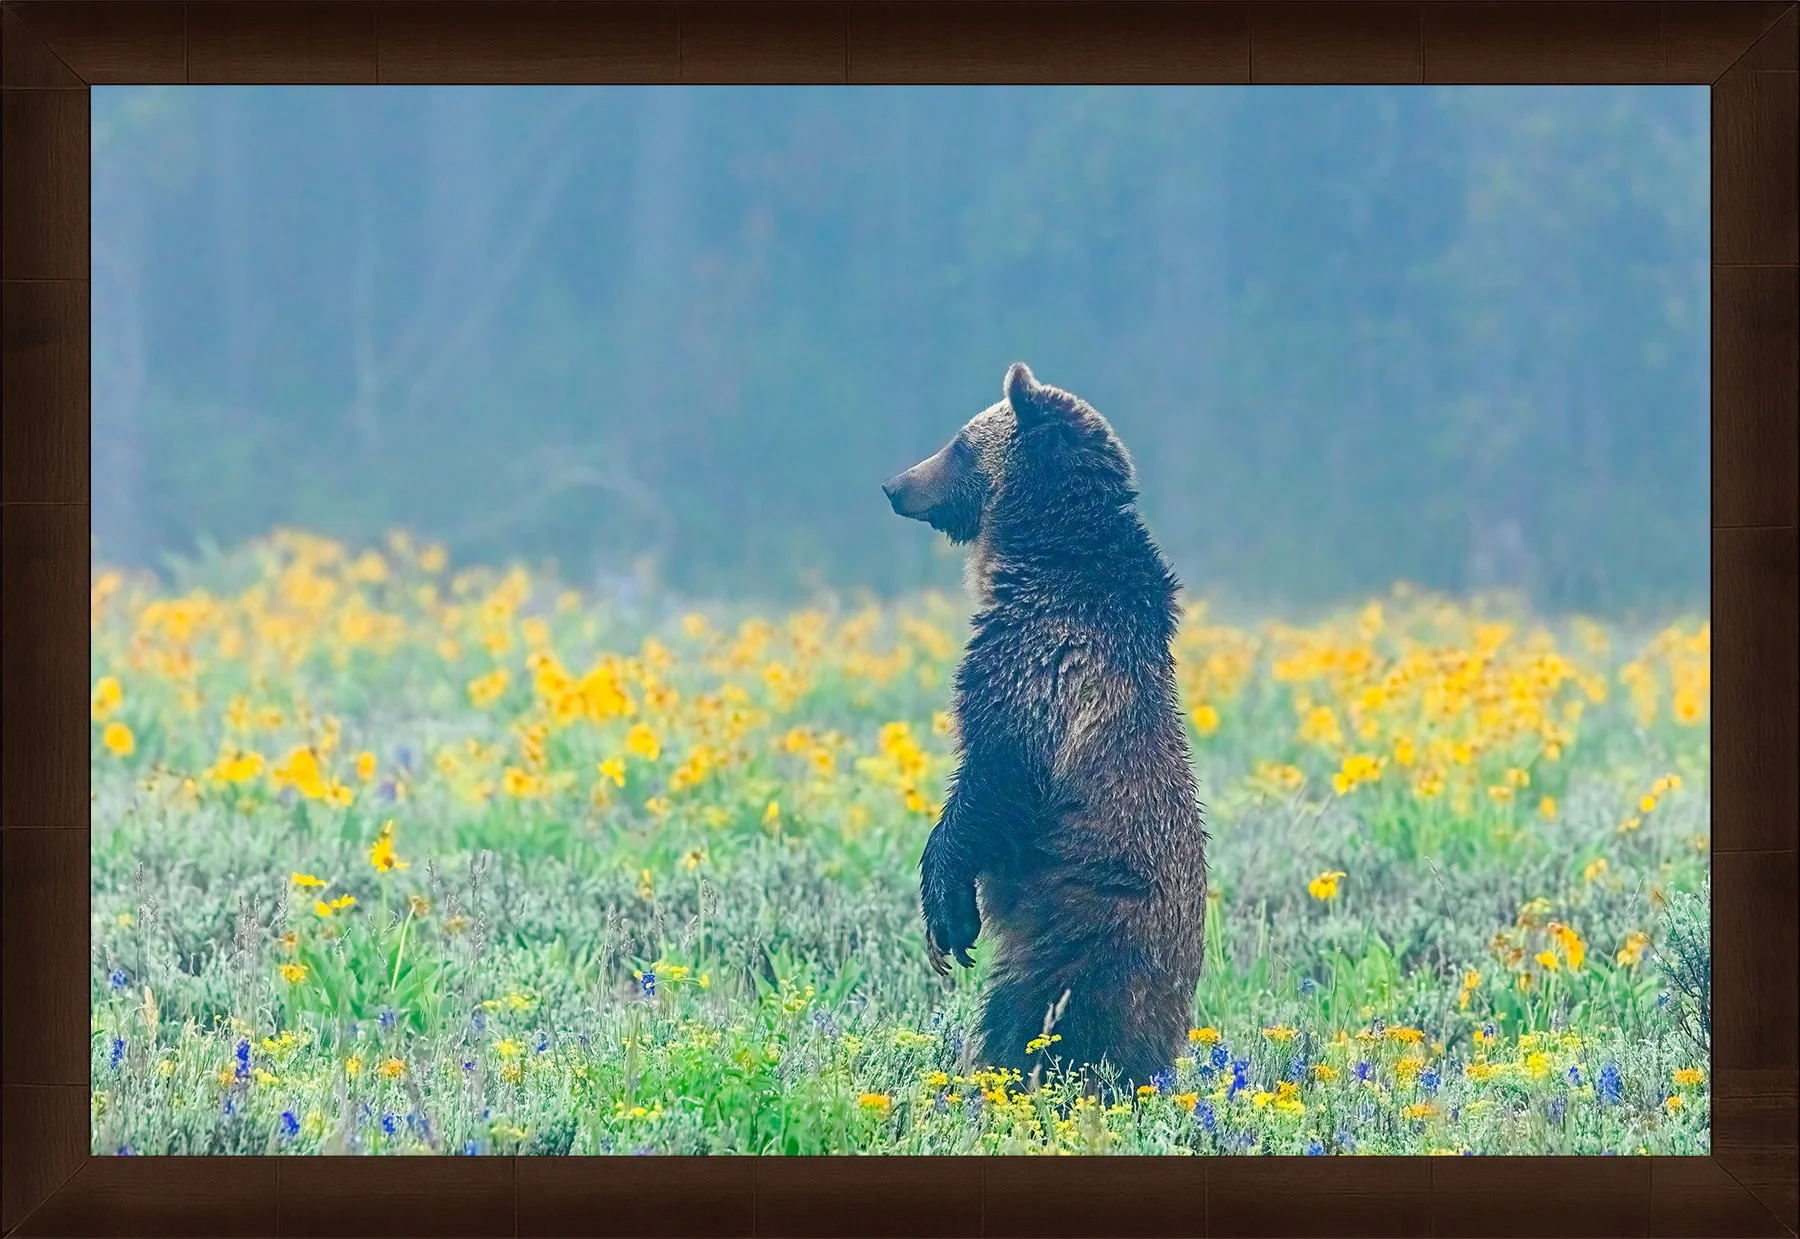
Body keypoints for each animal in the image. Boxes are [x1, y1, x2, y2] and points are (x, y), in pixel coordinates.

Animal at [881, 361, 1208, 1097]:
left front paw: (947, 915)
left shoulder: (1040, 667)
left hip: (1086, 934)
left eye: (958, 443)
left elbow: (993, 779)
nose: (894, 485)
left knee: (1035, 1019)